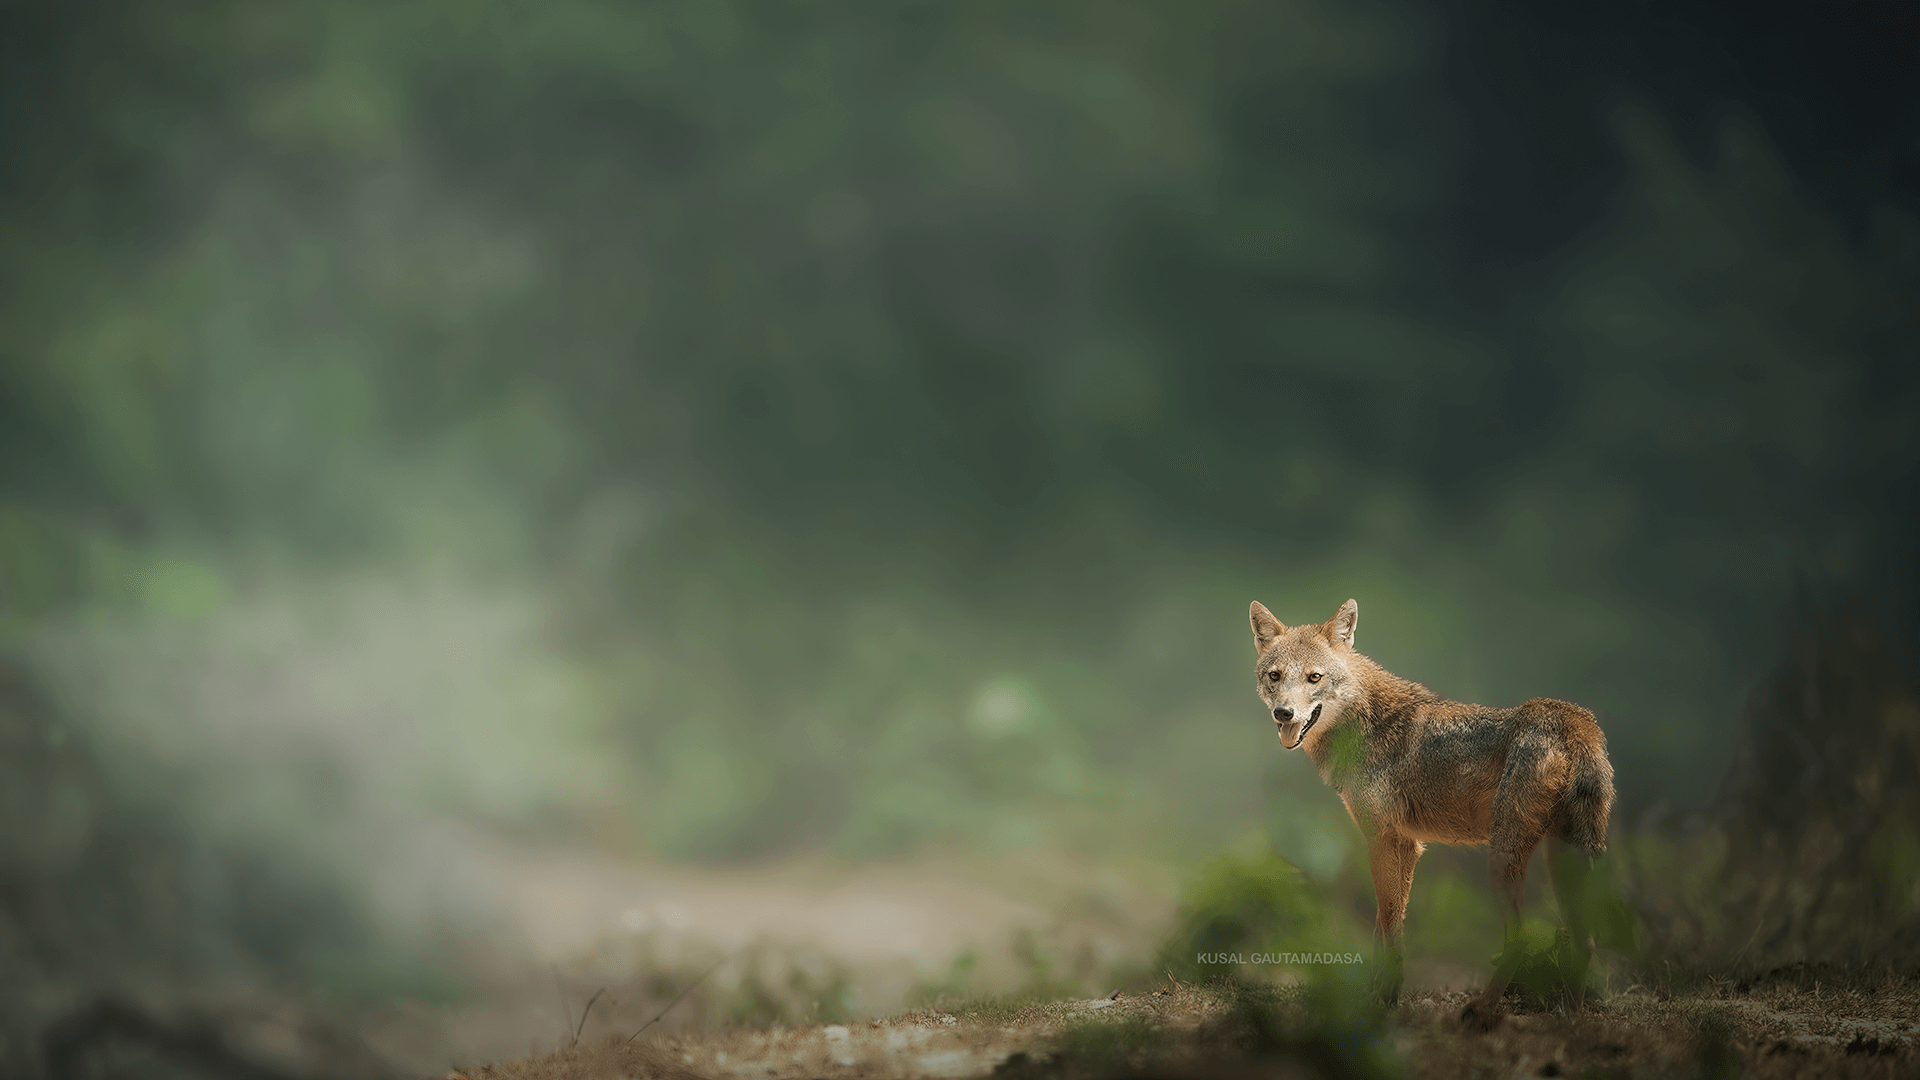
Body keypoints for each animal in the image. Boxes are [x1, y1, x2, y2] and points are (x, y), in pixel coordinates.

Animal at [1248, 598, 1614, 1023]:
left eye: (1314, 678)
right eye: (1275, 676)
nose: (1284, 713)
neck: (1366, 726)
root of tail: (1574, 723)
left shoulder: (1387, 841)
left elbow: (1390, 930)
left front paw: (1384, 1000)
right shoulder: (1404, 846)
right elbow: (1382, 928)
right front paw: (1375, 996)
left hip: (1502, 860)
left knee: (1522, 938)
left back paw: (1482, 1011)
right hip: (1564, 861)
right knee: (1586, 941)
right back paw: (1570, 1016)